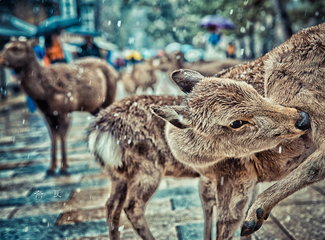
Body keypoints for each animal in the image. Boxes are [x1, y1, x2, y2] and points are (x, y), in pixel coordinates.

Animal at [0, 39, 118, 174]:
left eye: (16, 48)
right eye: (5, 46)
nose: (1, 58)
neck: (42, 94)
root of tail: (116, 73)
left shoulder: (64, 109)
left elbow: (62, 135)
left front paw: (64, 167)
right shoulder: (47, 113)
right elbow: (53, 136)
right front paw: (51, 168)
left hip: (110, 96)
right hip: (95, 107)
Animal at [87, 68, 310, 240]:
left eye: (254, 91)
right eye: (236, 122)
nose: (302, 118)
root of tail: (98, 132)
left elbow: (211, 206)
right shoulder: (232, 174)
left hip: (118, 173)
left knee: (111, 205)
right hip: (146, 168)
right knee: (132, 206)